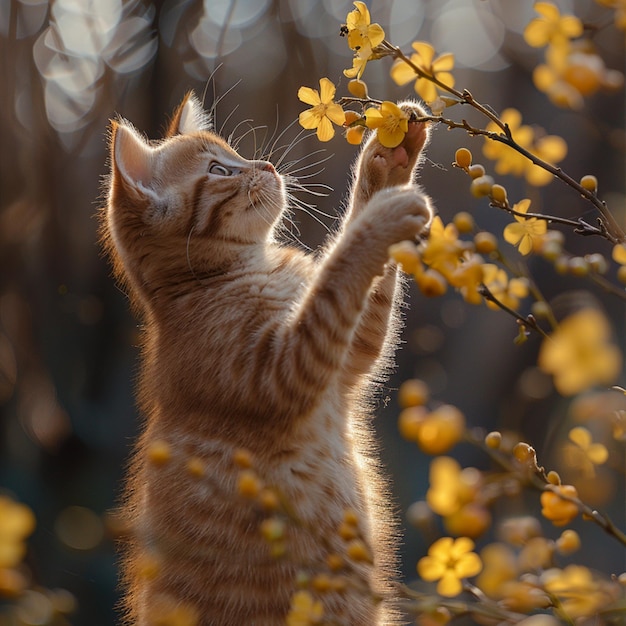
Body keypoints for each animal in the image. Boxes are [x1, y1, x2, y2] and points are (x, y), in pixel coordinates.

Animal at [102, 94, 432, 624]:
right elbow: (338, 273)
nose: (267, 166)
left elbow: (366, 305)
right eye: (219, 169)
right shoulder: (281, 371)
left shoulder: (350, 358)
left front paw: (388, 160)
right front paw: (379, 219)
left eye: (235, 153)